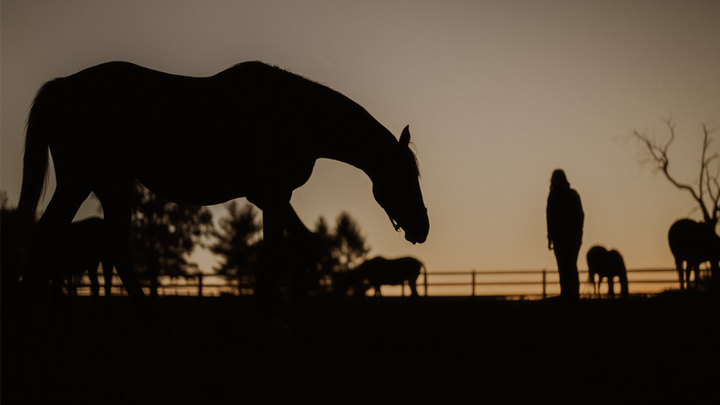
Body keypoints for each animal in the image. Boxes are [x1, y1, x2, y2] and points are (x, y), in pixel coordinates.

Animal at [17, 61, 429, 329]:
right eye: (405, 176)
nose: (422, 228)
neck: (295, 114)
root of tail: (60, 87)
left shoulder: (270, 197)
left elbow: (296, 243)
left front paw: (280, 306)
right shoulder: (272, 195)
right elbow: (283, 248)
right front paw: (279, 309)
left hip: (110, 184)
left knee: (112, 247)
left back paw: (150, 319)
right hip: (82, 181)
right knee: (50, 236)